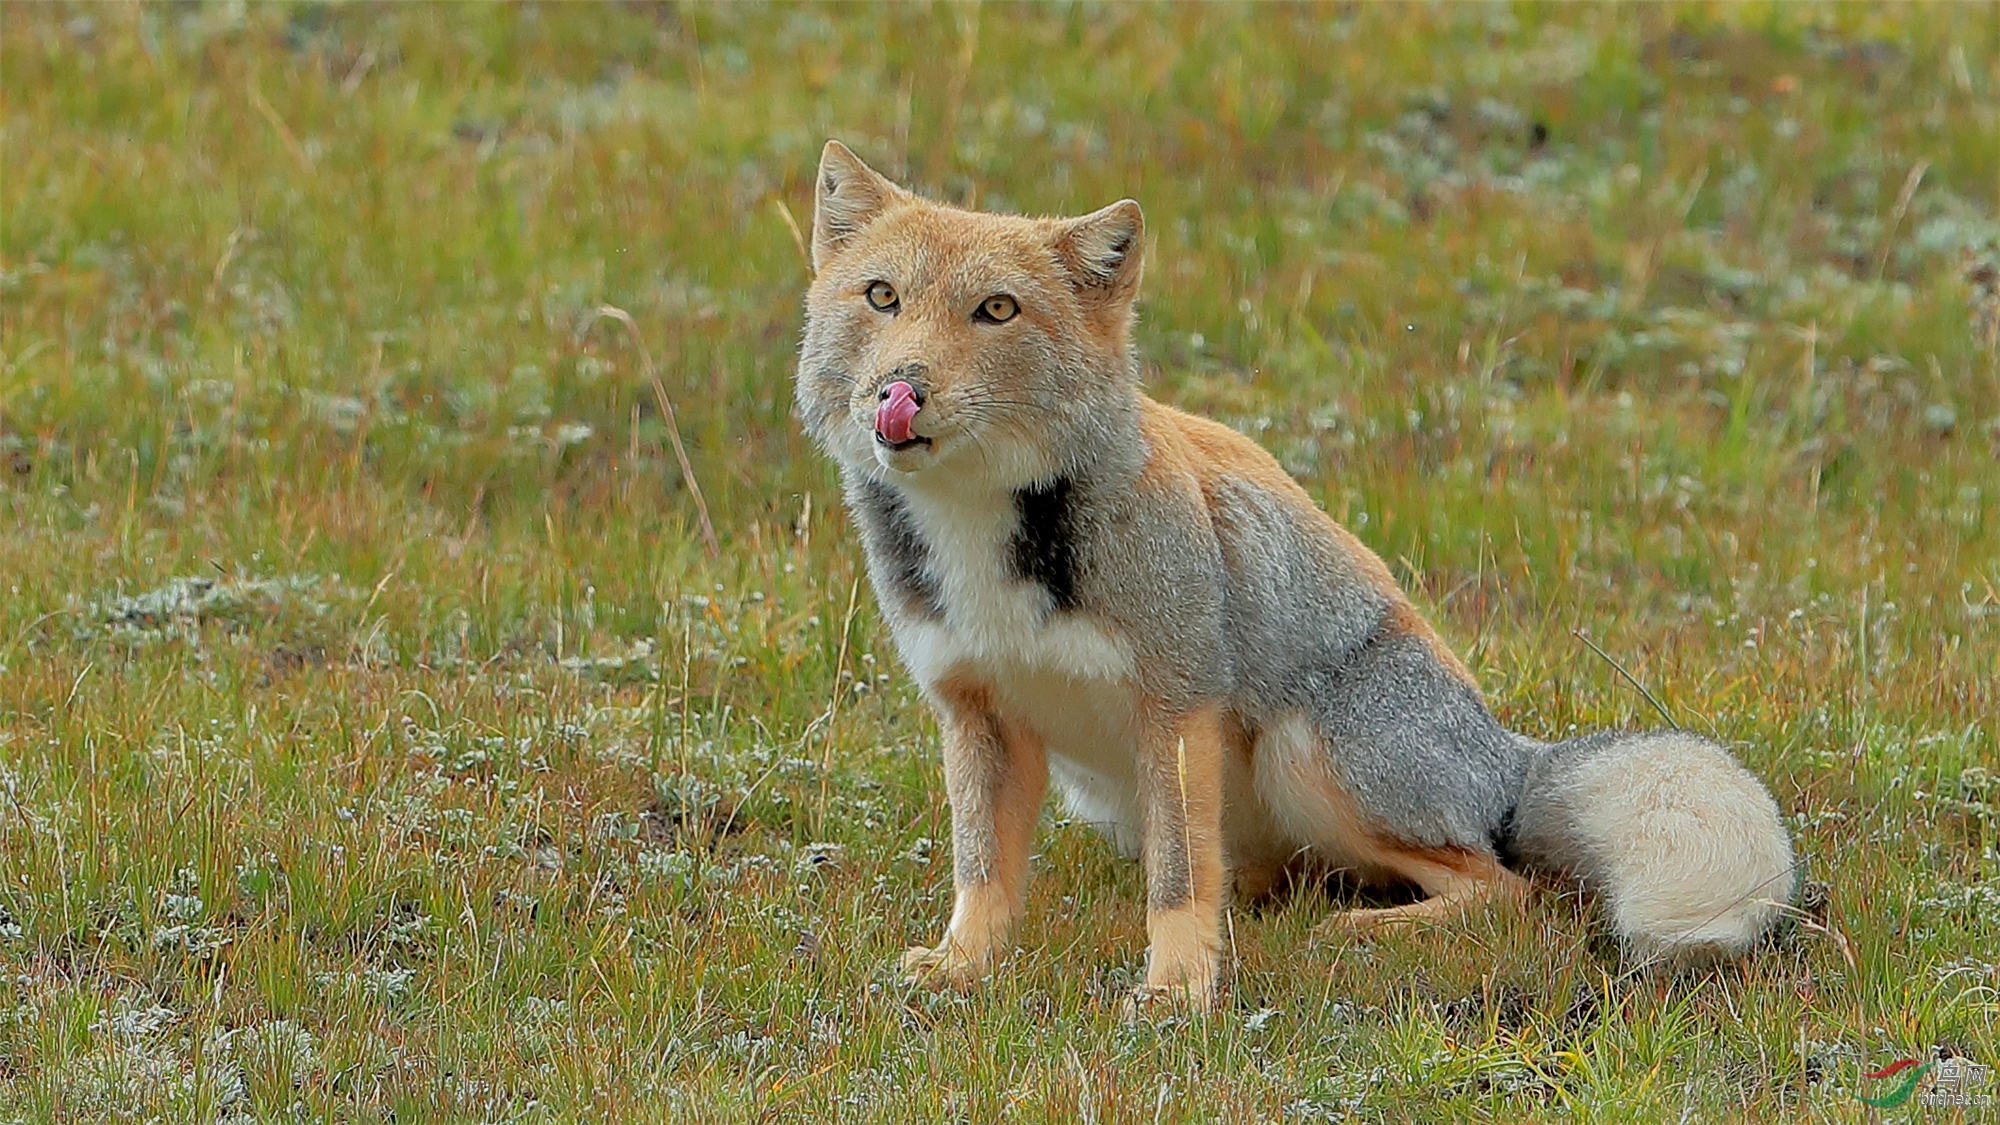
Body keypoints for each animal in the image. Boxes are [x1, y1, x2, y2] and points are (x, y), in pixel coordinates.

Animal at [788, 140, 1792, 1008]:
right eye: (882, 297)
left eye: (995, 310)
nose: (899, 389)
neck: (988, 539)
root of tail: (1508, 755)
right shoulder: (975, 711)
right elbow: (984, 871)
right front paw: (965, 966)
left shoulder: (1176, 700)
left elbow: (1179, 884)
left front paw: (1175, 990)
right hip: (1123, 797)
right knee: (1268, 876)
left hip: (1302, 753)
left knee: (1503, 888)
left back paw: (1366, 929)